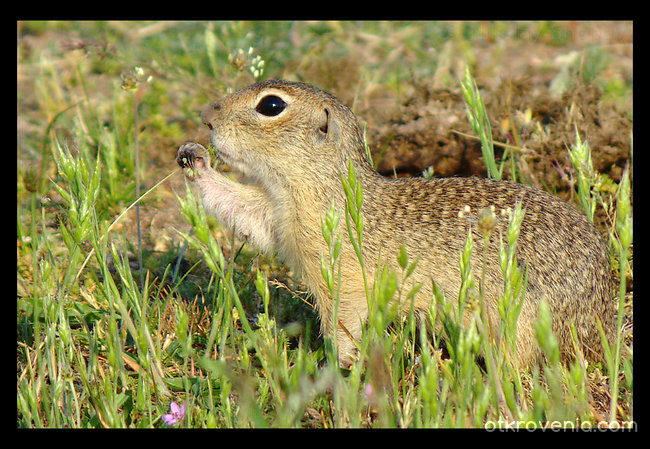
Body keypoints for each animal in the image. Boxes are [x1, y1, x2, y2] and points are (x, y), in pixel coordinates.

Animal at [176, 79, 612, 368]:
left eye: (270, 106)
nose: (205, 115)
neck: (323, 184)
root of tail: (600, 323)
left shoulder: (342, 275)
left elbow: (343, 322)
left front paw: (338, 367)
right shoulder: (278, 216)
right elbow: (245, 212)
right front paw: (194, 158)